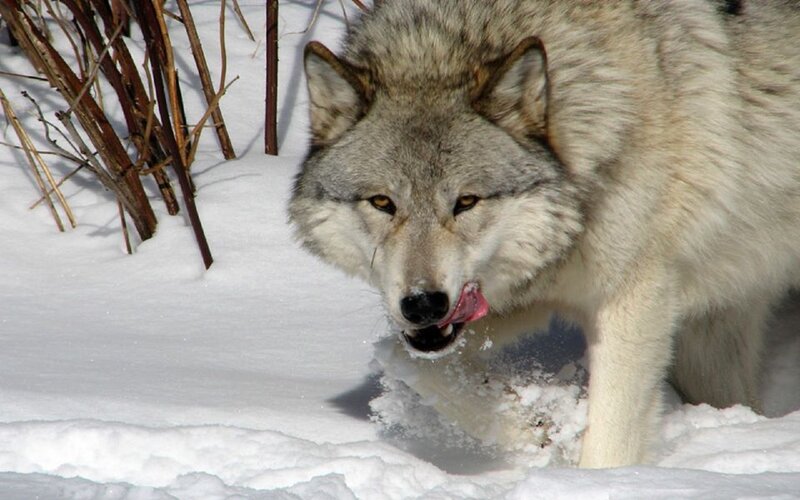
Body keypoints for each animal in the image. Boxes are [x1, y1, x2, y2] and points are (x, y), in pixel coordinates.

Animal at [289, 0, 800, 468]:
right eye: (383, 203)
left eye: (466, 202)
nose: (423, 304)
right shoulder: (507, 301)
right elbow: (402, 355)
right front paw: (537, 429)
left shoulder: (633, 302)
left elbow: (609, 443)